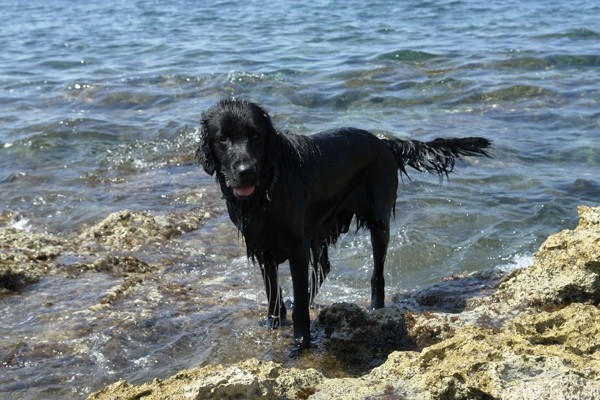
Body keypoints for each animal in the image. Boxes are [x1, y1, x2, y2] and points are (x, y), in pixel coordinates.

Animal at [198, 98, 492, 348]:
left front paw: (300, 343)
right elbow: (274, 295)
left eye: (256, 136)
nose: (246, 172)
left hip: (378, 223)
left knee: (377, 276)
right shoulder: (262, 247)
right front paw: (274, 324)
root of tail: (386, 144)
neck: (267, 188)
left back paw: (375, 309)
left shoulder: (297, 247)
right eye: (222, 138)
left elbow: (300, 305)